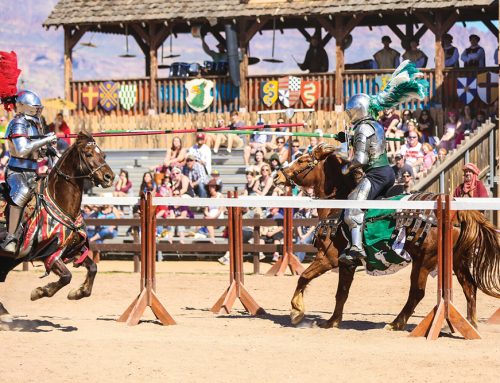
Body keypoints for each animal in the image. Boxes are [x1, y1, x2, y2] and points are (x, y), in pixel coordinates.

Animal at [0, 130, 114, 320]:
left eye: (103, 155)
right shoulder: (49, 253)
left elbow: (93, 267)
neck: (59, 201)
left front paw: (78, 292)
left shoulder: (72, 250)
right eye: (88, 154)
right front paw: (39, 291)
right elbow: (67, 276)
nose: (109, 177)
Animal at [274, 144, 500, 330]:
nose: (279, 176)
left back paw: (396, 323)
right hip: (457, 260)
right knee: (470, 287)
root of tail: (456, 211)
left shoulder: (328, 259)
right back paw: (469, 324)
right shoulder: (347, 264)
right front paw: (332, 321)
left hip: (425, 260)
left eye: (302, 160)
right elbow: (341, 293)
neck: (337, 206)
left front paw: (296, 312)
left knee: (417, 292)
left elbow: (304, 277)